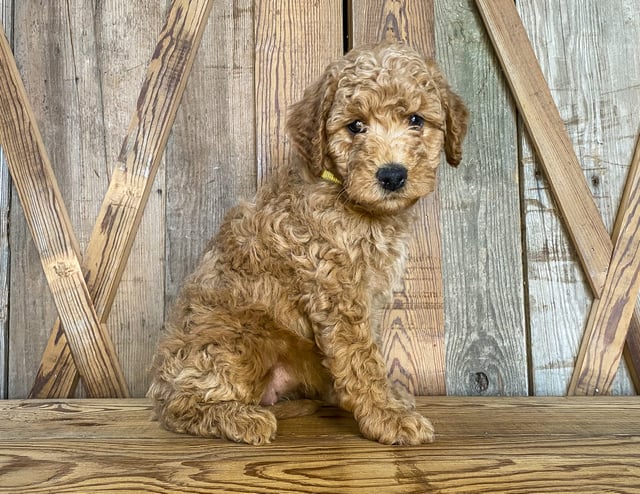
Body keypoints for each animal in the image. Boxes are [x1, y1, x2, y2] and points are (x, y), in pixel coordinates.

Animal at [148, 41, 468, 444]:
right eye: (355, 126)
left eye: (416, 120)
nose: (392, 175)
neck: (350, 198)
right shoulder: (336, 291)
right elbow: (362, 359)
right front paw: (388, 417)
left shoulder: (369, 296)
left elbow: (371, 349)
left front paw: (391, 400)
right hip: (239, 336)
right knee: (180, 405)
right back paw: (239, 418)